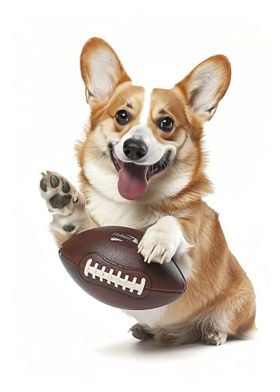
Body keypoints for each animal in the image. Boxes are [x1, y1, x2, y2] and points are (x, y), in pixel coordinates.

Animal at [40, 37, 256, 346]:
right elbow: (78, 227)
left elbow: (173, 220)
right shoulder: (87, 233)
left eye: (166, 123)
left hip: (241, 300)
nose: (134, 148)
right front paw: (64, 202)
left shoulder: (187, 267)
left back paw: (213, 332)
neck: (130, 204)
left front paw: (158, 238)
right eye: (122, 116)